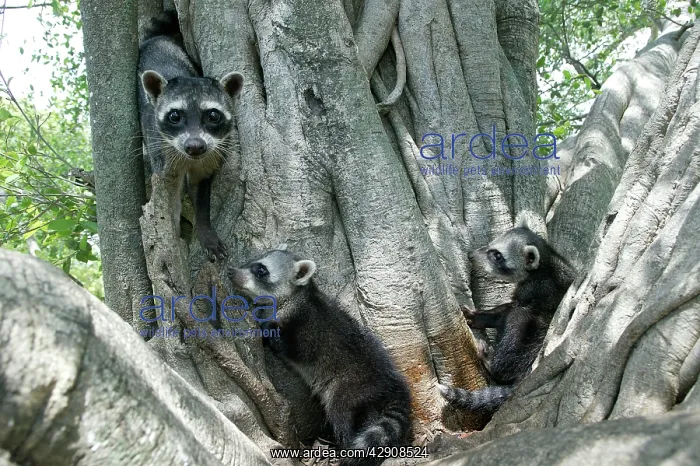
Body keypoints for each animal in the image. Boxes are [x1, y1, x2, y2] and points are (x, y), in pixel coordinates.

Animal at [138, 10, 243, 261]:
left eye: (213, 115)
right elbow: (168, 199)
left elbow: (201, 190)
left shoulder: (209, 156)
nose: (195, 146)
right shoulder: (163, 156)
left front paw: (204, 230)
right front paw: (172, 236)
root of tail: (157, 39)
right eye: (175, 116)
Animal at [228, 246, 412, 465]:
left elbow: (294, 349)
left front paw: (266, 331)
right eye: (252, 261)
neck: (295, 297)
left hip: (350, 388)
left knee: (342, 415)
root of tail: (389, 384)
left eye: (261, 271)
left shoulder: (305, 327)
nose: (231, 272)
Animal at [438, 221, 575, 414]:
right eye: (490, 245)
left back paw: (494, 364)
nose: (470, 255)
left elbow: (507, 312)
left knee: (517, 322)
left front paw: (483, 317)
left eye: (497, 256)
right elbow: (503, 309)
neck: (546, 259)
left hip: (533, 341)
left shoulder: (538, 289)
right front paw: (477, 315)